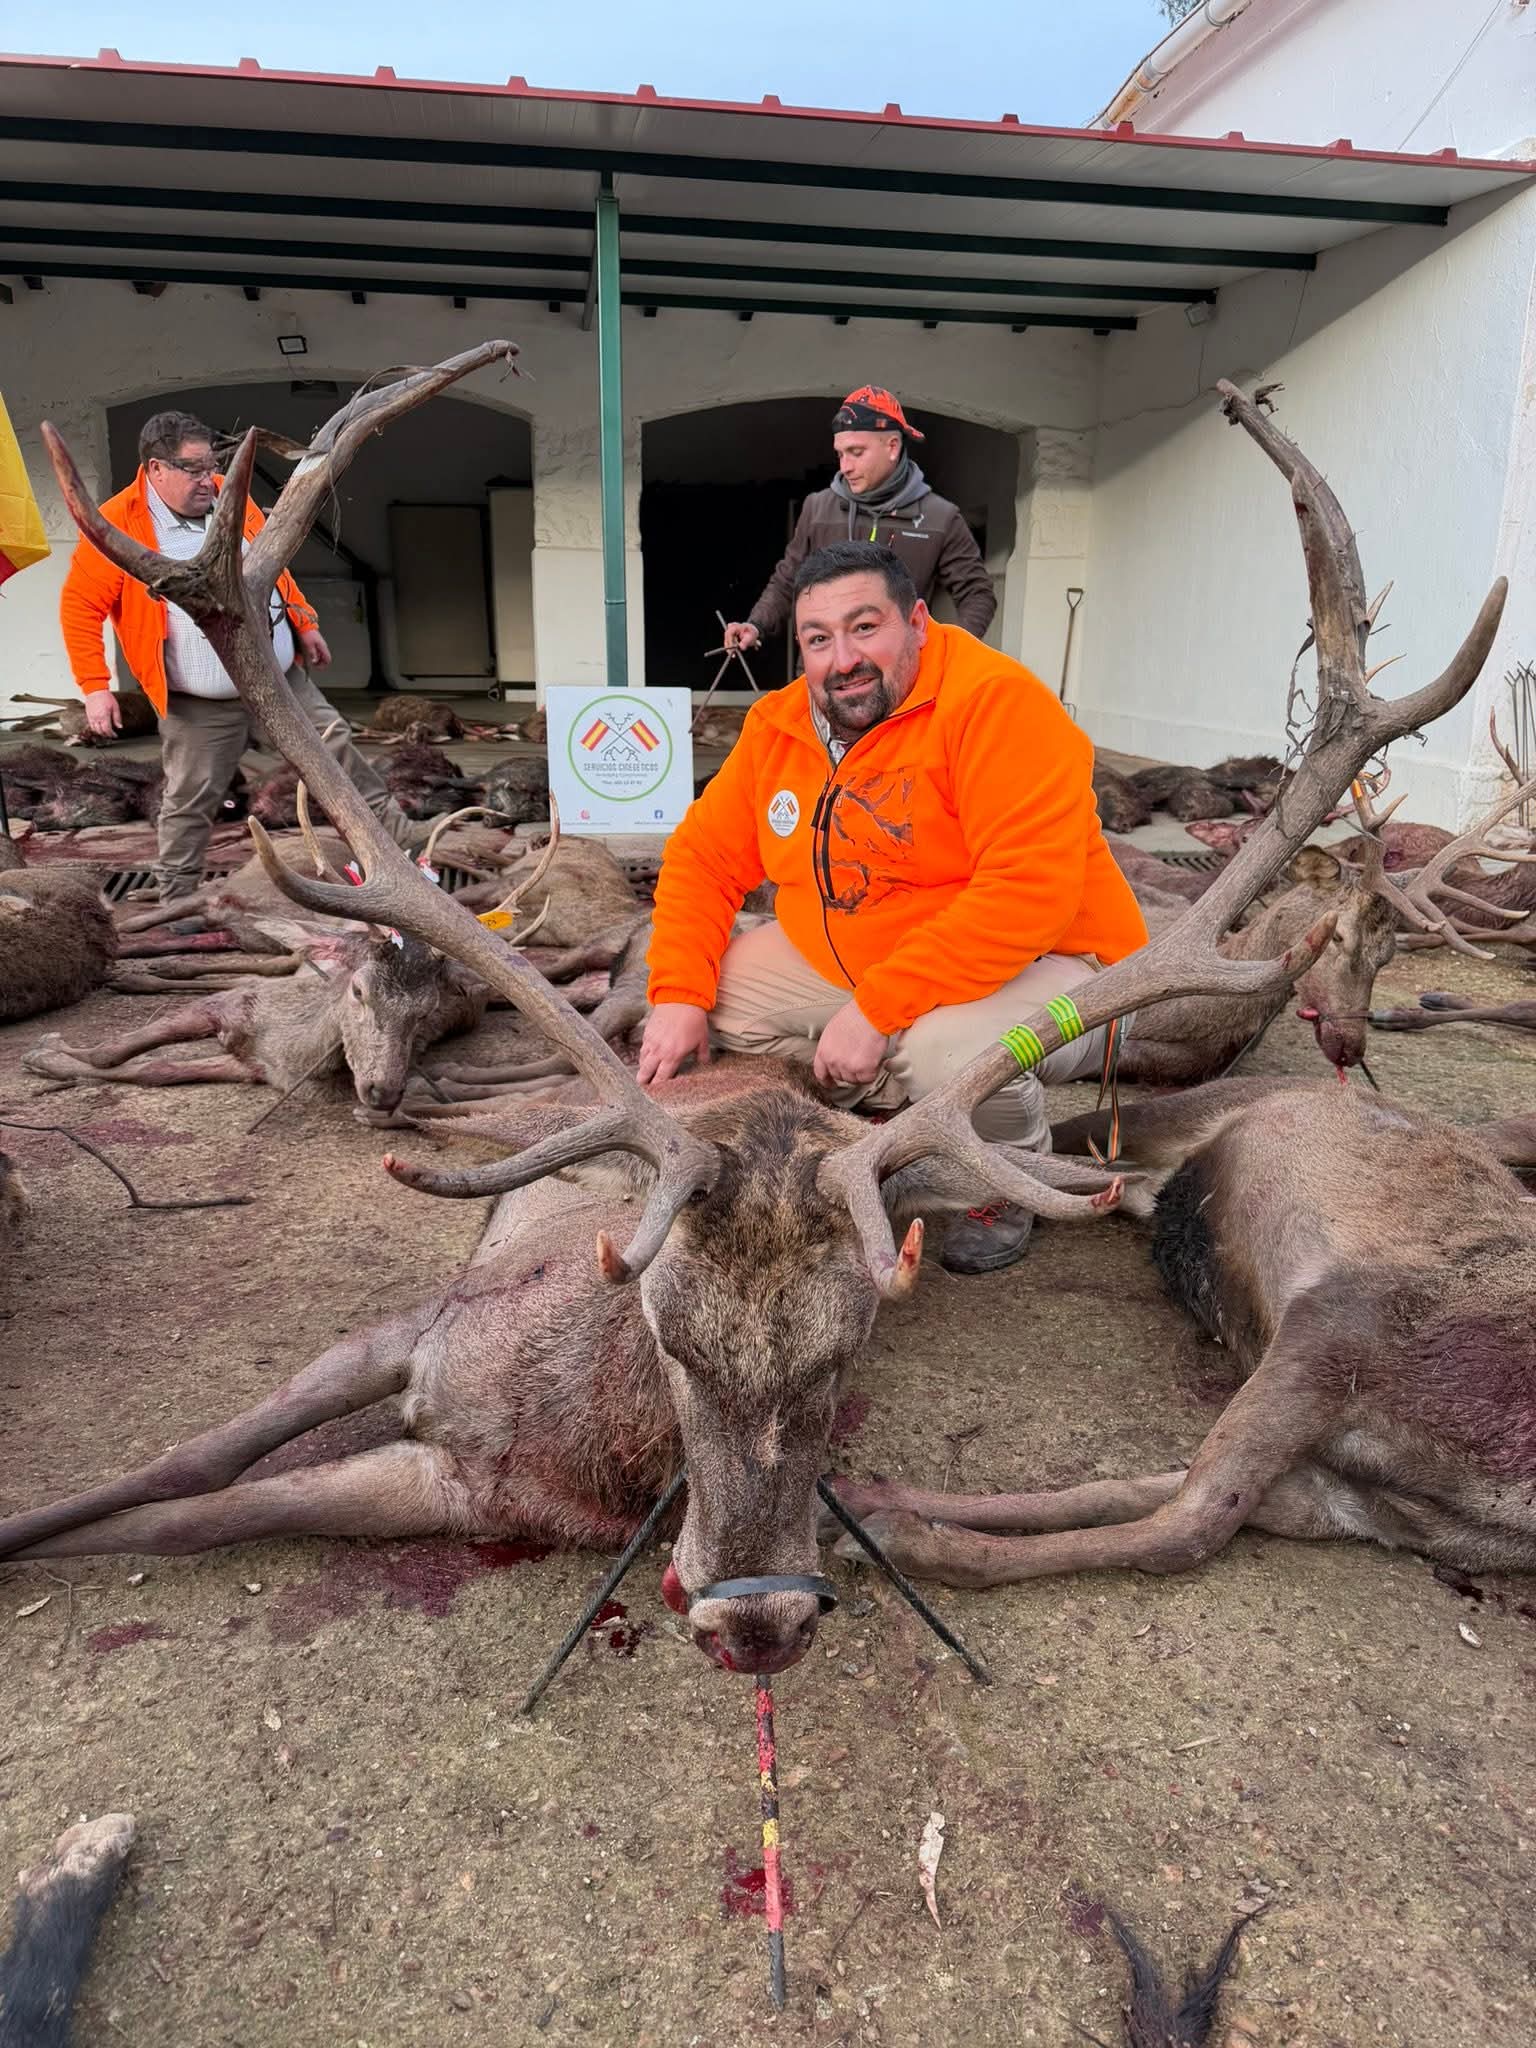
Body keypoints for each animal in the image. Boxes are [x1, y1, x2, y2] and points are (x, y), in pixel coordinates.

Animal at [0, 351, 1499, 1687]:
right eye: (667, 1338)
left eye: (851, 1359)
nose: (761, 1625)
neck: (547, 1434)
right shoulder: (416, 1327)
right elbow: (185, 1464)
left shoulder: (455, 1487)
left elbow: (199, 1510)